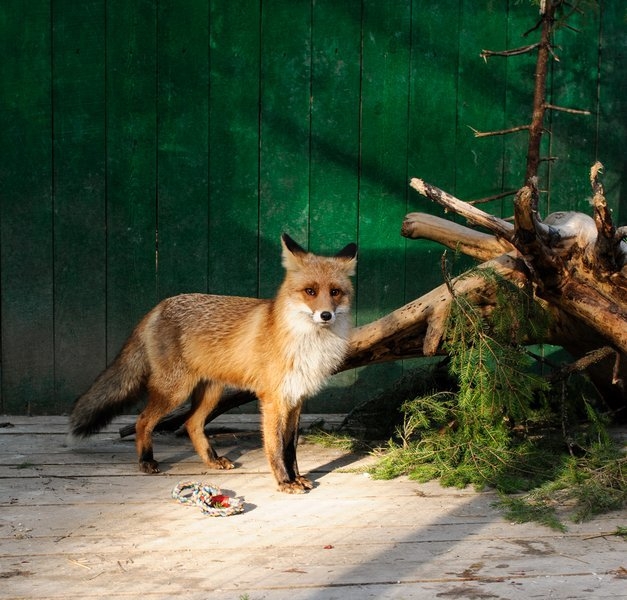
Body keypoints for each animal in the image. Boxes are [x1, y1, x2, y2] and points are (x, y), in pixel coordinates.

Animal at [69, 233, 358, 492]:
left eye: (335, 292)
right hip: (175, 391)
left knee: (191, 424)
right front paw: (284, 482)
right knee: (143, 420)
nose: (326, 315)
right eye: (310, 291)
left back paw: (212, 459)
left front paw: (296, 478)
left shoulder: (296, 399)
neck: (308, 344)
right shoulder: (273, 400)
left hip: (212, 393)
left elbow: (290, 448)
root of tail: (159, 306)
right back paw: (146, 461)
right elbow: (275, 446)